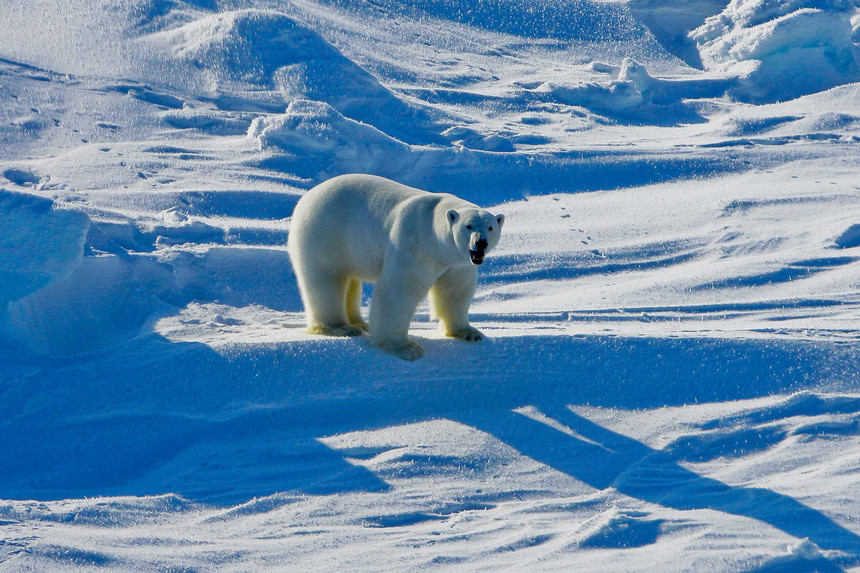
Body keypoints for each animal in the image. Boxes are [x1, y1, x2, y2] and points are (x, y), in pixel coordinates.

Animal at [287, 173, 504, 360]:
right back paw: (341, 328)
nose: (480, 243)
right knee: (326, 281)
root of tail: (307, 197)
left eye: (490, 227)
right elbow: (399, 290)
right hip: (325, 232)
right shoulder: (414, 245)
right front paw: (405, 348)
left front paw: (469, 332)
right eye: (468, 226)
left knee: (350, 282)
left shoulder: (458, 262)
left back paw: (361, 323)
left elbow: (455, 291)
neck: (435, 237)